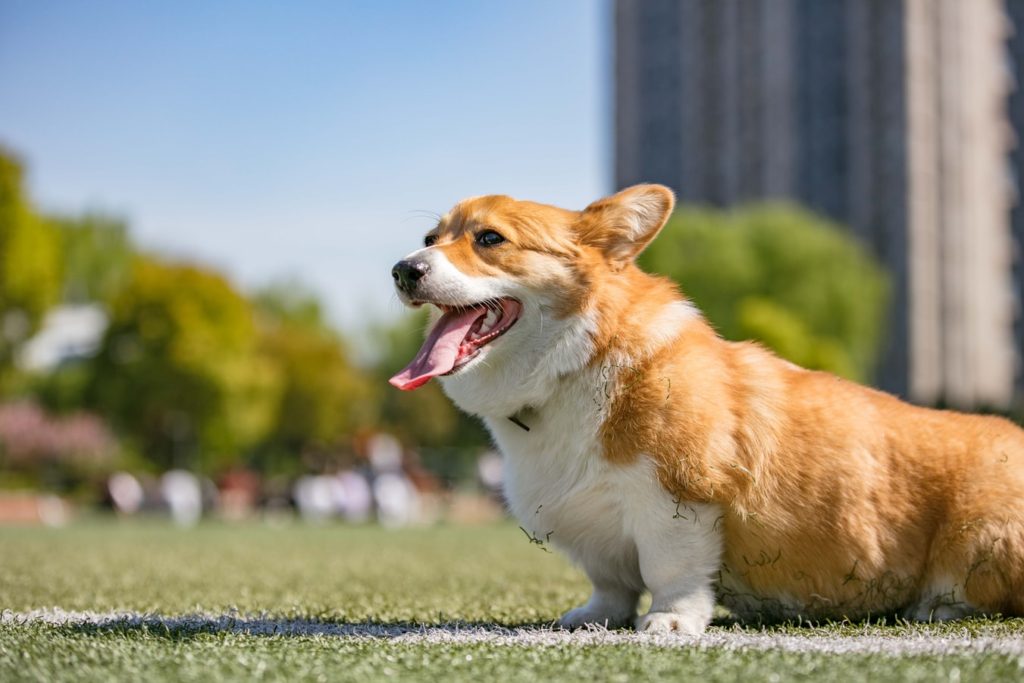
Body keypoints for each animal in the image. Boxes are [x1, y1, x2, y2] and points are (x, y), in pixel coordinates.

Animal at [389, 184, 1024, 634]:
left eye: (490, 239)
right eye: (430, 236)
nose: (403, 269)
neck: (573, 366)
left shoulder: (678, 494)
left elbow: (671, 569)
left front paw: (669, 623)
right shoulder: (590, 525)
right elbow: (610, 581)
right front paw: (594, 616)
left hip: (982, 534)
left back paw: (938, 606)